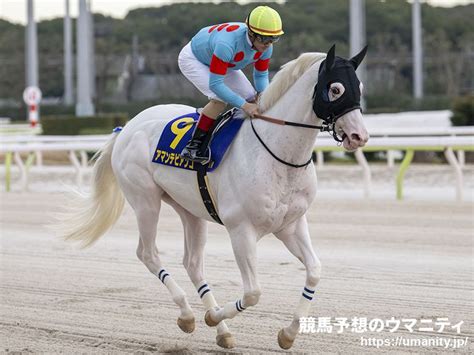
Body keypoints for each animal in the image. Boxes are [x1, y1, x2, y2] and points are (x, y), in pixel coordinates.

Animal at [60, 46, 370, 352]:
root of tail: (125, 127)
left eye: (361, 88)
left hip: (190, 209)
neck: (277, 154)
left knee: (193, 263)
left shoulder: (290, 225)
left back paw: (222, 332)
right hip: (145, 200)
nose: (359, 136)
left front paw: (288, 333)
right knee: (148, 253)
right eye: (336, 89)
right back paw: (187, 315)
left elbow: (314, 271)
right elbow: (253, 292)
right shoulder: (241, 230)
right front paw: (212, 316)